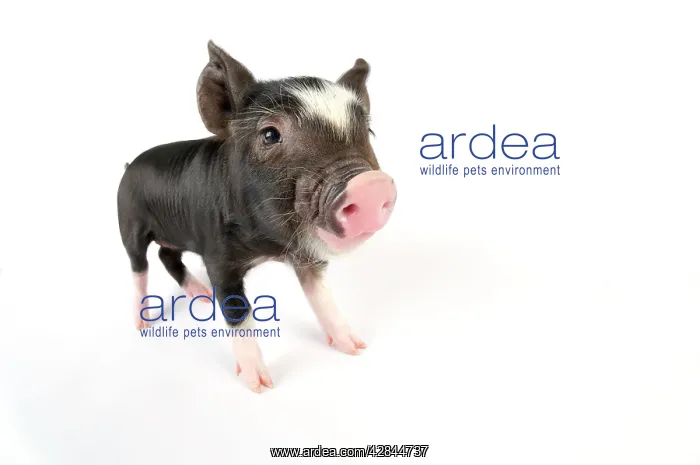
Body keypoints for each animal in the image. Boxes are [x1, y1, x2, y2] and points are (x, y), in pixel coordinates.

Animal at [117, 41, 397, 392]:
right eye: (269, 135)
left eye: (368, 131)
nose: (370, 184)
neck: (267, 246)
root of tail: (128, 167)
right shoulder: (217, 257)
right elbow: (238, 311)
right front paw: (260, 385)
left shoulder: (306, 256)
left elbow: (320, 294)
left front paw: (356, 347)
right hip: (128, 223)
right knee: (139, 265)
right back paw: (143, 322)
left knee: (167, 255)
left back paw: (202, 297)